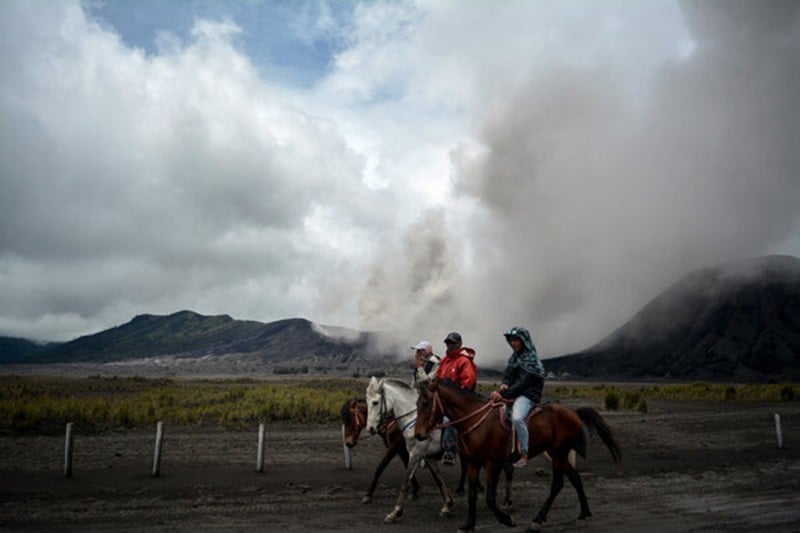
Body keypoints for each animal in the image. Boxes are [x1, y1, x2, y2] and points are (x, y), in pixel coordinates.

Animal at [366, 376, 454, 520]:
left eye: (375, 402)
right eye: (366, 401)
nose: (371, 428)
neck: (414, 421)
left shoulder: (415, 454)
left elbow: (406, 481)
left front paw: (395, 512)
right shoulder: (428, 457)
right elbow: (439, 479)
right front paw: (447, 505)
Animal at [416, 378, 620, 532]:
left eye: (426, 403)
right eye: (417, 404)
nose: (418, 434)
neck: (475, 421)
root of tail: (574, 413)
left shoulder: (493, 464)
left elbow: (490, 498)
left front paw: (507, 520)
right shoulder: (473, 463)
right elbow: (472, 495)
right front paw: (468, 525)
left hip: (558, 453)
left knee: (558, 484)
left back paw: (538, 519)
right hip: (558, 454)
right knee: (575, 479)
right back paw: (584, 512)